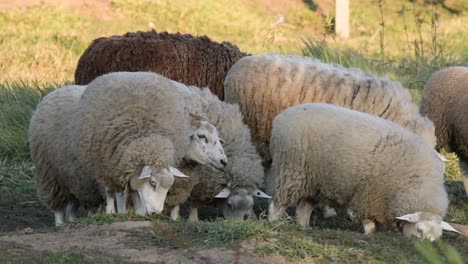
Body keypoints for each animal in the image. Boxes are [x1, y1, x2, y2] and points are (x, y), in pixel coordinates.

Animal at [28, 85, 103, 226]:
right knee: (58, 203)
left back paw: (73, 220)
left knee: (73, 202)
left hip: (73, 174)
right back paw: (60, 223)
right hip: (50, 172)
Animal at [266, 103, 460, 241]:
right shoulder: (369, 196)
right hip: (290, 171)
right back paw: (274, 222)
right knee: (278, 203)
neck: (415, 182)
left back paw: (303, 228)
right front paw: (369, 235)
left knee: (304, 207)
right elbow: (369, 223)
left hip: (313, 181)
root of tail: (282, 117)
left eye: (437, 237)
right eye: (419, 230)